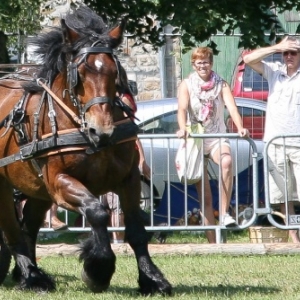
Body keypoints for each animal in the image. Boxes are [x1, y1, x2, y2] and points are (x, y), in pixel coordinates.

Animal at [0, 4, 171, 296]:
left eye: (116, 72)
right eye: (79, 74)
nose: (101, 130)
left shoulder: (129, 179)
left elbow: (136, 229)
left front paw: (153, 278)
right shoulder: (60, 183)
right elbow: (98, 211)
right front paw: (98, 269)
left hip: (36, 188)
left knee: (28, 228)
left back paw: (29, 275)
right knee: (12, 231)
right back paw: (31, 276)